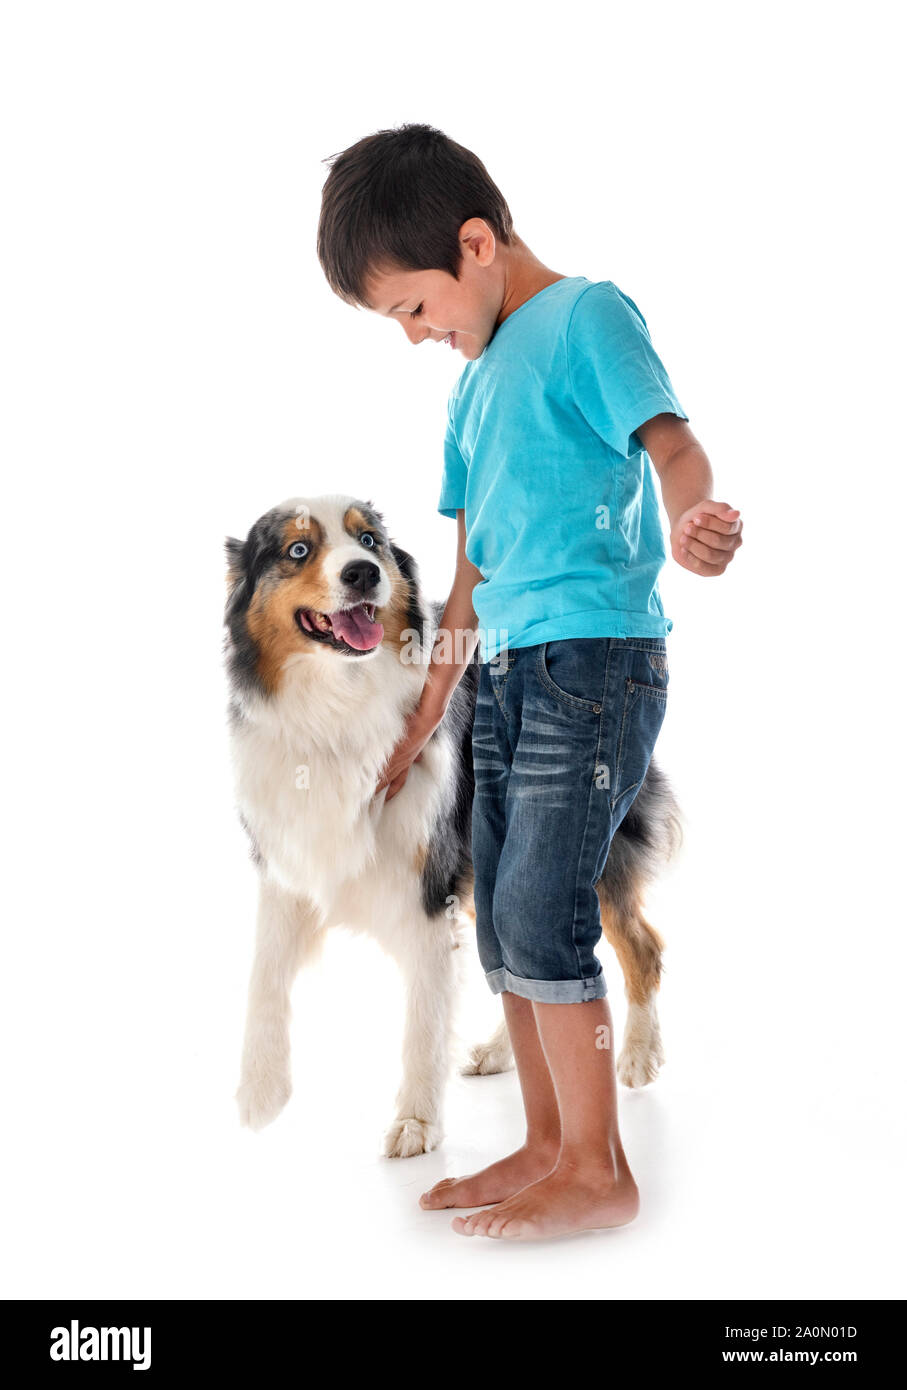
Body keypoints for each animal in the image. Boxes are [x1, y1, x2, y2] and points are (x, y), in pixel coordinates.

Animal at [225, 494, 677, 1156]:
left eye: (369, 540)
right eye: (298, 549)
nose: (363, 572)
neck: (334, 705)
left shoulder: (427, 883)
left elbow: (425, 1020)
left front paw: (416, 1122)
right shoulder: (287, 860)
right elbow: (263, 974)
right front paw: (259, 1094)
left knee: (637, 946)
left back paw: (640, 1055)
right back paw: (502, 1052)